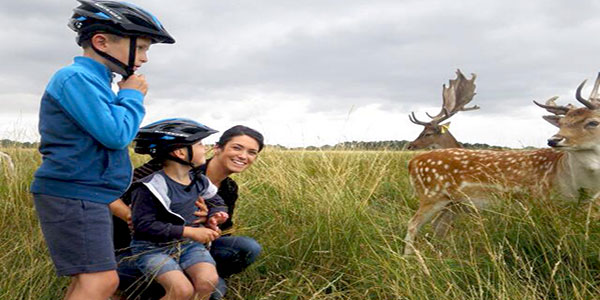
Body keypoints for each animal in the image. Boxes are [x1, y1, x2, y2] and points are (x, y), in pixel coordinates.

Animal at [400, 74, 600, 254]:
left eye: (593, 122)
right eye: (562, 123)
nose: (554, 140)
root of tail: (412, 162)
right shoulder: (539, 201)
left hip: (453, 203)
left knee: (438, 226)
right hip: (431, 195)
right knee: (413, 224)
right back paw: (411, 260)